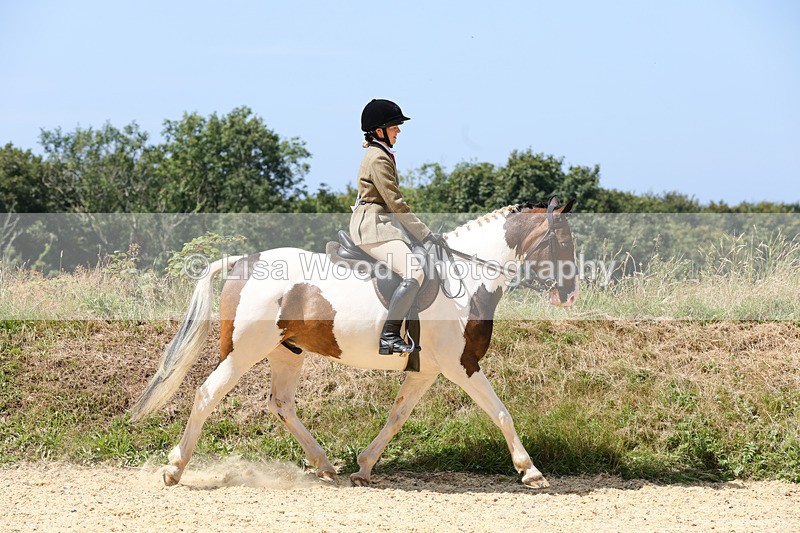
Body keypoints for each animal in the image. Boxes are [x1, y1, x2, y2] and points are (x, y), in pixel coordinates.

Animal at [130, 196, 578, 489]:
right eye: (565, 242)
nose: (569, 296)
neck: (467, 279)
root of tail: (244, 261)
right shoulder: (462, 365)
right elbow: (501, 412)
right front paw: (531, 471)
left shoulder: (428, 370)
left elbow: (397, 417)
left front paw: (363, 468)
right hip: (244, 352)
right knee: (208, 394)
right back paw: (174, 469)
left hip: (286, 352)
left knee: (281, 405)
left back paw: (325, 465)